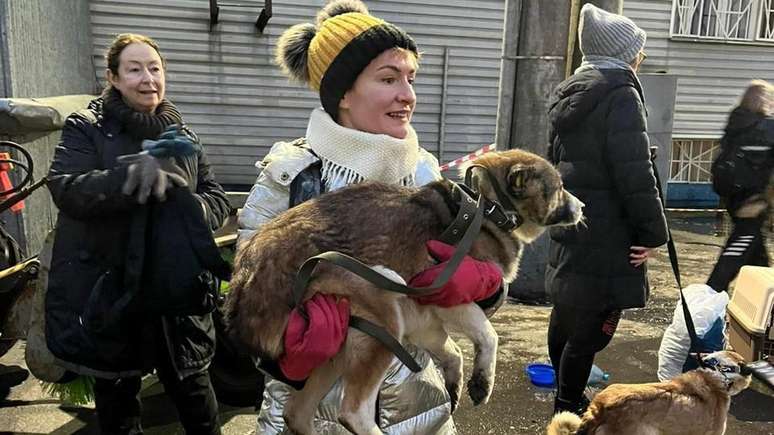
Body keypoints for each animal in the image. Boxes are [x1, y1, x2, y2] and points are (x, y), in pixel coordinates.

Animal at [227, 148, 584, 434]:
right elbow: (489, 336)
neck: (489, 207)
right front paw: (483, 381)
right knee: (351, 412)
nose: (583, 207)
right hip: (382, 318)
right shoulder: (448, 298)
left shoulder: (425, 319)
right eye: (559, 188)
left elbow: (453, 351)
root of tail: (246, 278)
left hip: (340, 345)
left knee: (296, 414)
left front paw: (456, 385)